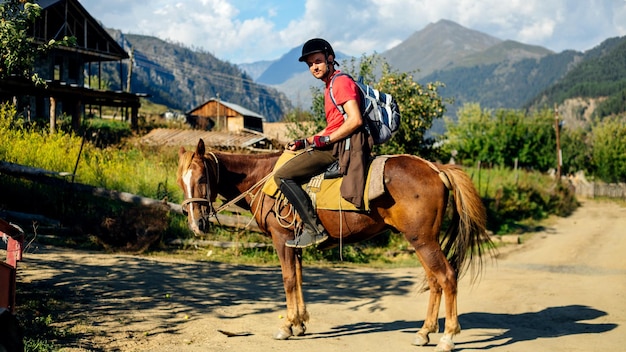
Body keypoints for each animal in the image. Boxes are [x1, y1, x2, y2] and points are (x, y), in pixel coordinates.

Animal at [176, 139, 492, 350]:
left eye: (202, 178)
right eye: (181, 182)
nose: (196, 224)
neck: (261, 179)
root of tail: (435, 168)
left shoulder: (282, 240)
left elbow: (288, 280)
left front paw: (287, 326)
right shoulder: (295, 242)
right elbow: (299, 279)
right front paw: (300, 322)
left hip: (422, 240)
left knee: (447, 277)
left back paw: (448, 336)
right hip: (422, 241)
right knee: (435, 281)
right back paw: (425, 332)